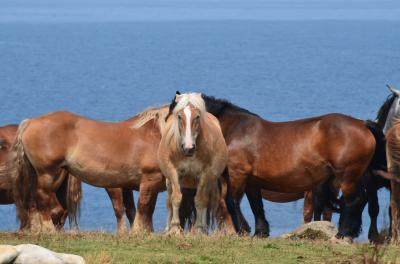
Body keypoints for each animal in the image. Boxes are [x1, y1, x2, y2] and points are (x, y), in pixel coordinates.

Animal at [202, 94, 380, 238]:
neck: (235, 129)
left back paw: (343, 233)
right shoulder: (252, 181)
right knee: (360, 200)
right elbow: (256, 205)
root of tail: (363, 124)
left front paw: (241, 230)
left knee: (353, 201)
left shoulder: (237, 174)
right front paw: (260, 232)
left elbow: (231, 202)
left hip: (347, 175)